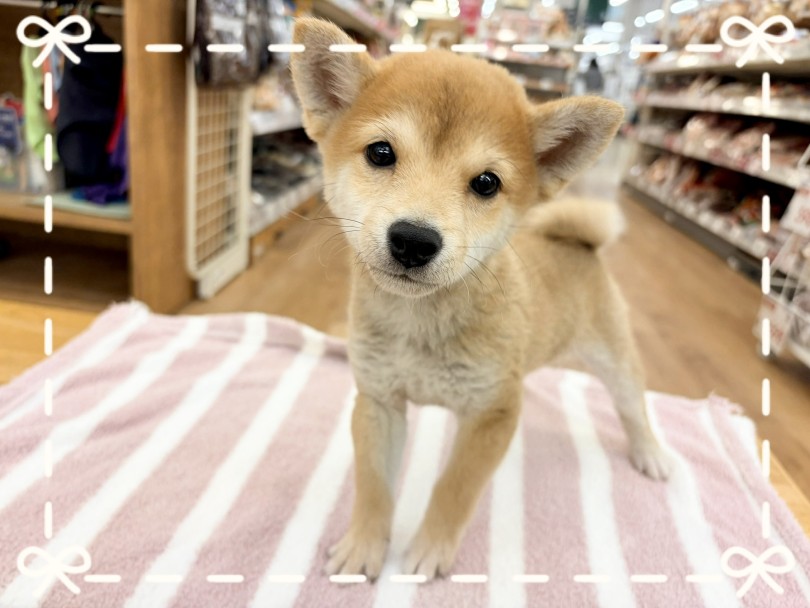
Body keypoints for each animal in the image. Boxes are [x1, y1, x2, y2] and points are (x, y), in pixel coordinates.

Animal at [290, 18, 672, 581]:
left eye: (487, 183)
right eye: (381, 153)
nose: (414, 240)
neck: (421, 324)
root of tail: (579, 242)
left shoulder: (494, 414)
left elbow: (455, 489)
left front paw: (430, 549)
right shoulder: (379, 401)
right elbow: (374, 486)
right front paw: (364, 546)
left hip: (614, 358)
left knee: (634, 405)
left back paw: (650, 452)